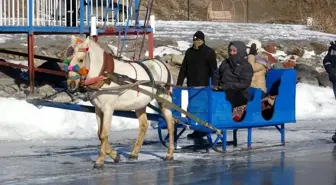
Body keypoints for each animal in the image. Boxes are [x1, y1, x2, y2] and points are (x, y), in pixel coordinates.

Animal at [66, 35, 176, 168]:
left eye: (81, 60)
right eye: (68, 60)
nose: (71, 85)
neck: (104, 75)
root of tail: (161, 63)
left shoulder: (108, 108)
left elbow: (104, 134)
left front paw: (100, 160)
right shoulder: (98, 109)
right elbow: (99, 134)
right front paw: (115, 155)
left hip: (164, 99)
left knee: (170, 124)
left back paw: (169, 153)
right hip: (140, 103)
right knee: (144, 125)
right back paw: (134, 153)